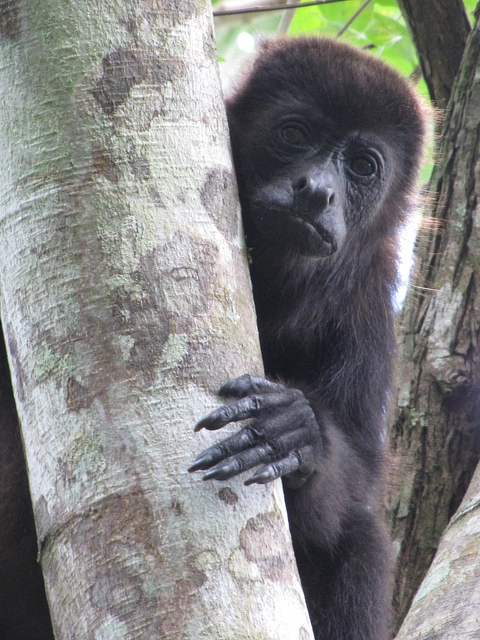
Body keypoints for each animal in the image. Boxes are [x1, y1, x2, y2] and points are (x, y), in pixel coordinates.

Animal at [188, 37, 427, 640]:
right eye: (294, 135)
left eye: (362, 167)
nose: (317, 191)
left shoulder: (367, 303)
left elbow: (361, 471)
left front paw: (296, 429)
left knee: (360, 539)